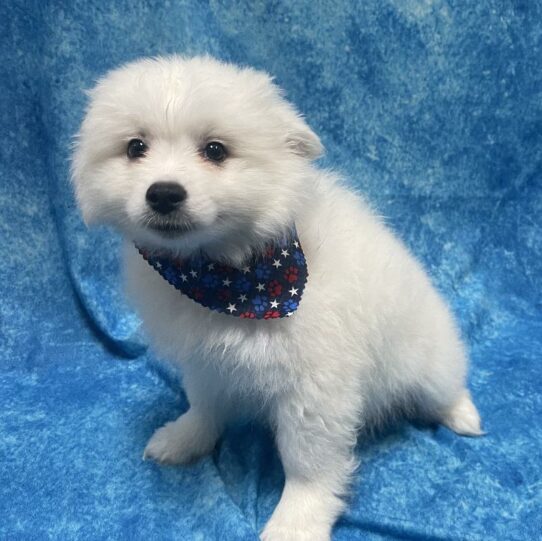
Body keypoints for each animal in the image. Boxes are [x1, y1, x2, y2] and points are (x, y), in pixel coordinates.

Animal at [72, 56, 484, 540]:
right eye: (136, 147)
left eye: (215, 151)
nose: (164, 193)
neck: (228, 275)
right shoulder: (208, 363)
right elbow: (204, 406)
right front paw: (185, 438)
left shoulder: (316, 388)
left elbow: (309, 464)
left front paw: (296, 520)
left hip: (428, 362)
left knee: (447, 388)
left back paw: (463, 416)